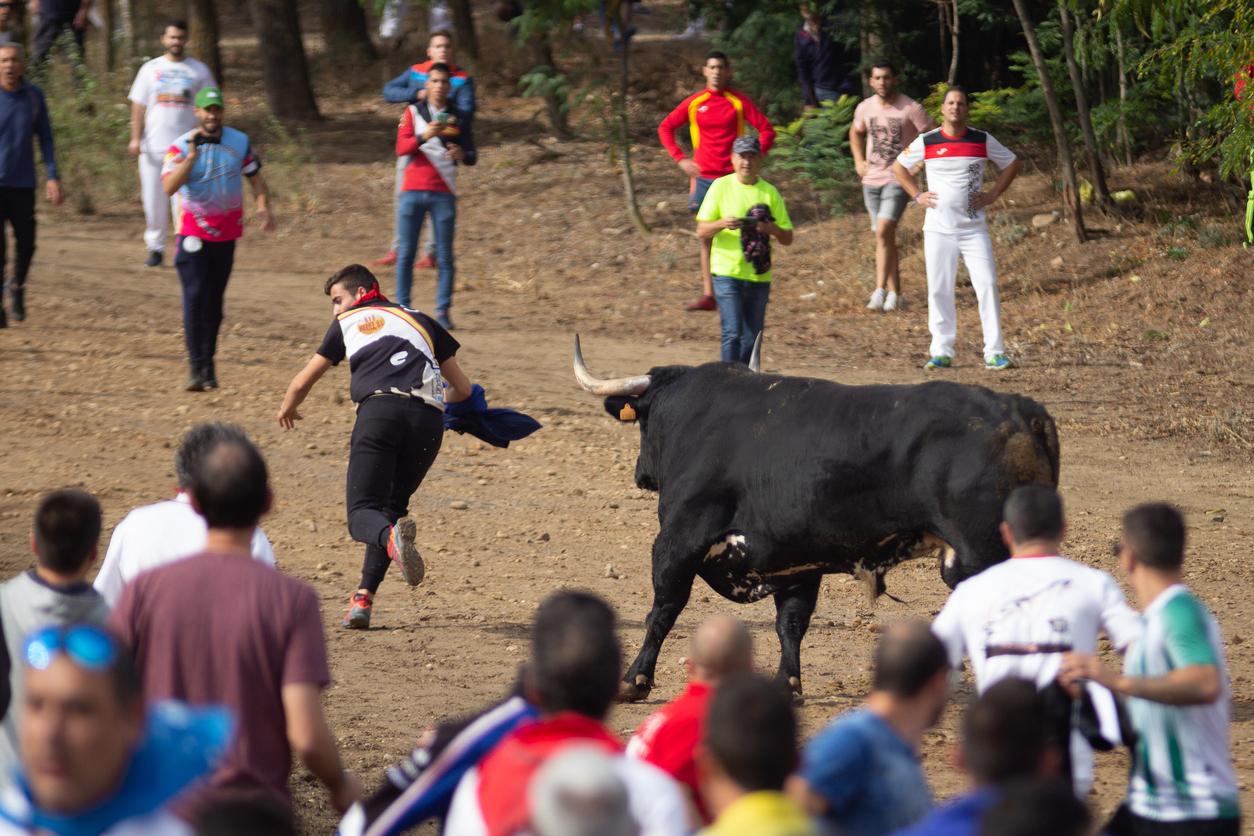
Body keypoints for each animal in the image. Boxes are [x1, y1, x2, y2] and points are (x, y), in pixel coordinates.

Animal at [574, 338, 1058, 701]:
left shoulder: (678, 540)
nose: (641, 473)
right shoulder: (795, 560)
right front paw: (788, 684)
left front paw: (634, 680)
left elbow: (664, 608)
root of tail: (1020, 409)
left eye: (642, 421)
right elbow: (791, 623)